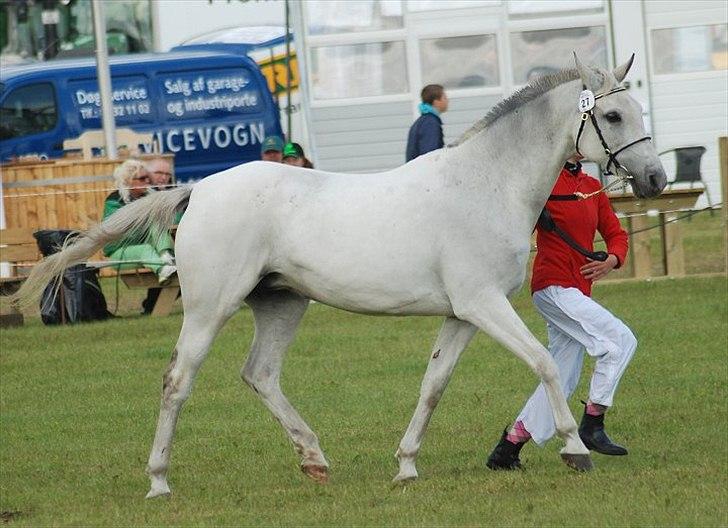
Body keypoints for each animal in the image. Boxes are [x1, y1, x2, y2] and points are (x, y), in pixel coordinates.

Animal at [12, 55, 664, 498]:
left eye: (636, 109)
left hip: (282, 304)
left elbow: (432, 387)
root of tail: (200, 189)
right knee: (177, 382)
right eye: (611, 113)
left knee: (260, 375)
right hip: (208, 309)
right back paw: (159, 481)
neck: (485, 185)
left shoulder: (462, 315)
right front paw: (576, 449)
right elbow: (544, 363)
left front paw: (406, 465)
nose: (655, 180)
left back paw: (314, 459)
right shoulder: (484, 306)